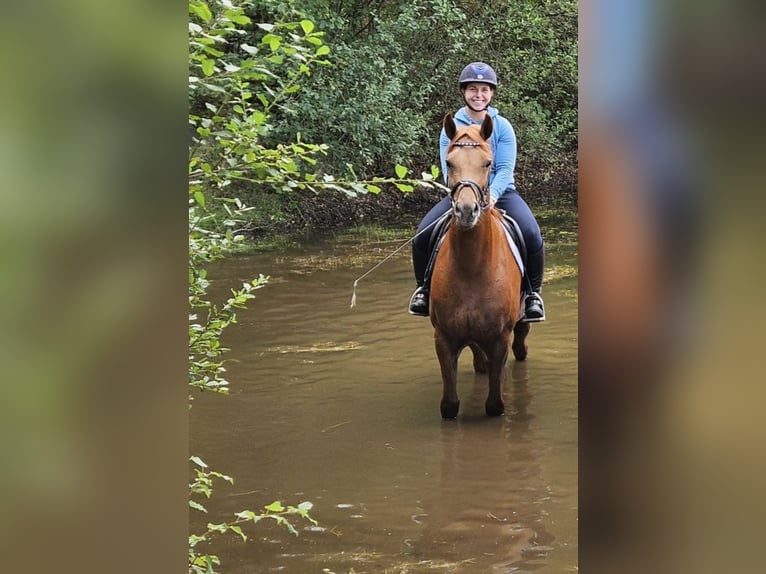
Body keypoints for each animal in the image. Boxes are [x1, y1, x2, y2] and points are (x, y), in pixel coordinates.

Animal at [428, 112, 532, 420]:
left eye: (487, 163)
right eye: (449, 162)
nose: (466, 211)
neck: (471, 267)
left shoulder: (500, 339)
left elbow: (495, 406)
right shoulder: (444, 339)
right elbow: (449, 406)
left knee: (520, 344)